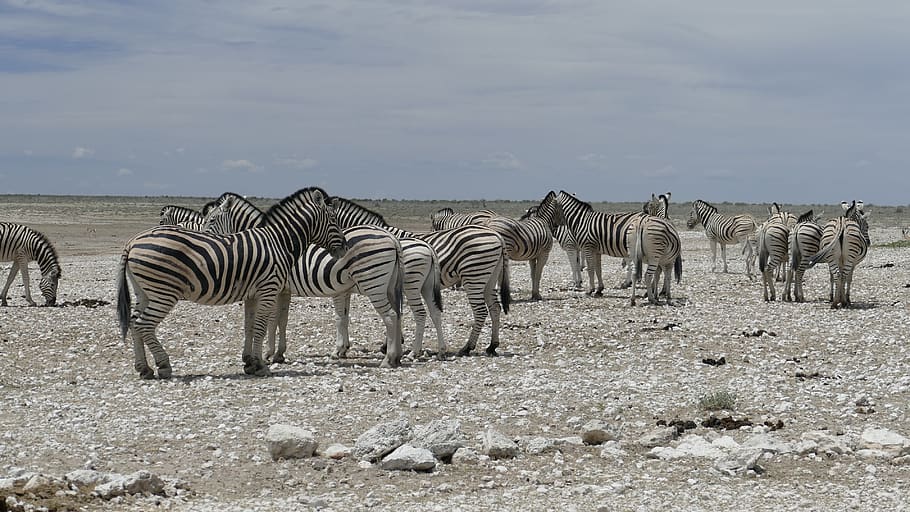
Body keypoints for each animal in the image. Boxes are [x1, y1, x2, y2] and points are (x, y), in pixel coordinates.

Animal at [117, 187, 347, 379]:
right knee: (143, 324)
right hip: (163, 292)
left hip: (145, 292)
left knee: (134, 323)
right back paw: (164, 366)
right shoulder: (268, 290)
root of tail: (132, 242)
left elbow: (249, 326)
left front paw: (249, 362)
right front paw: (261, 365)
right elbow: (261, 327)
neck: (279, 242)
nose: (345, 249)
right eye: (334, 221)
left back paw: (144, 368)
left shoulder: (252, 294)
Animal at [201, 192, 413, 365]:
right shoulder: (284, 290)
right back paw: (397, 355)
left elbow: (271, 321)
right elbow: (282, 320)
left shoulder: (273, 288)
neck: (272, 243)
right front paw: (279, 353)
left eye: (211, 220)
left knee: (390, 315)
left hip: (373, 283)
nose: (204, 244)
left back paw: (389, 358)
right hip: (389, 285)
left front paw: (268, 354)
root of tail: (391, 237)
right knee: (397, 314)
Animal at [332, 196, 510, 357]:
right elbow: (347, 315)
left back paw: (467, 348)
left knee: (480, 311)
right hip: (489, 277)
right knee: (495, 307)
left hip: (474, 275)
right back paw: (492, 346)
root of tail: (496, 235)